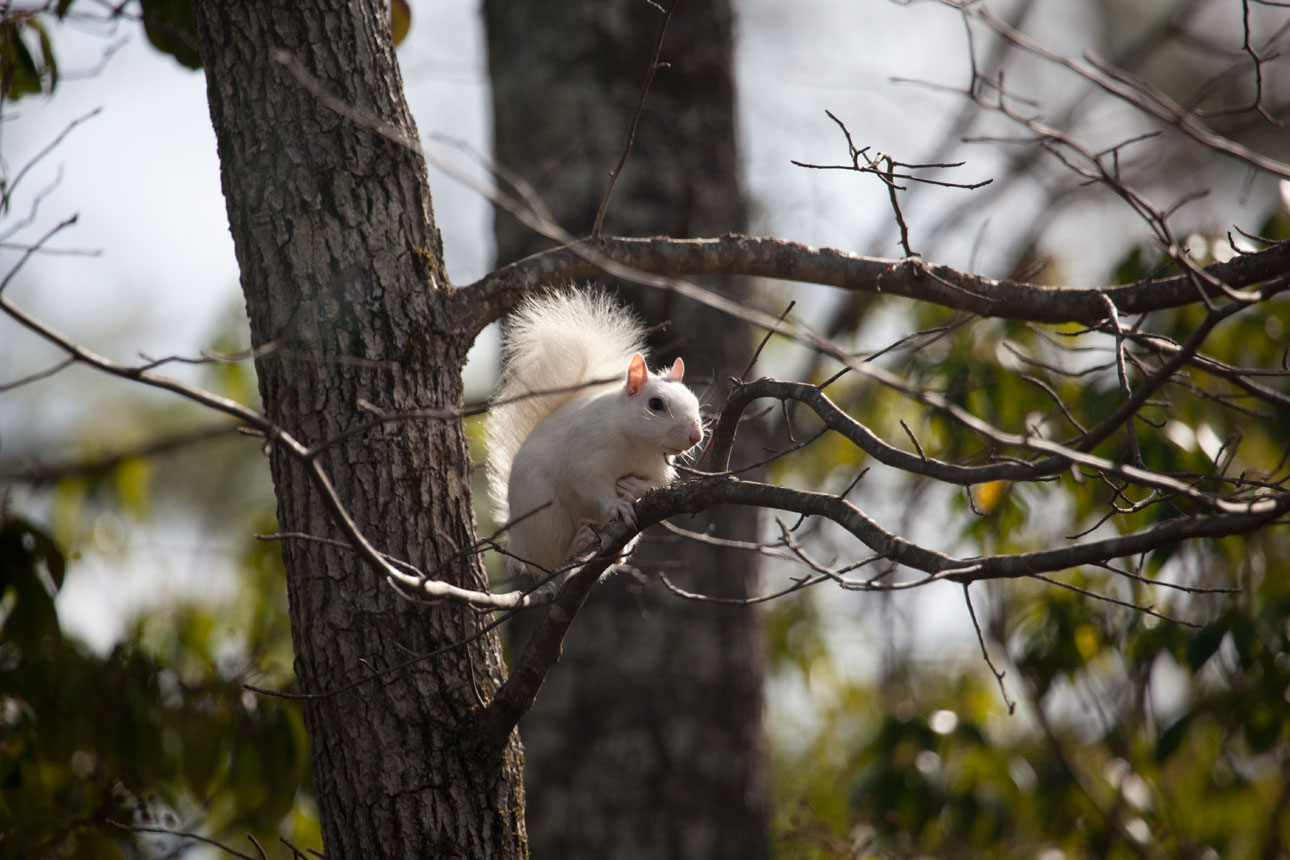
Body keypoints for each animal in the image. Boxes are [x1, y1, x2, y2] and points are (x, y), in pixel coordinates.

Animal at [485, 289, 705, 579]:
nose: (696, 436)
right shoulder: (587, 451)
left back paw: (619, 551)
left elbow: (661, 483)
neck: (638, 446)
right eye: (656, 404)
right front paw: (616, 505)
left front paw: (636, 487)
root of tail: (518, 542)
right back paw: (578, 542)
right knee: (552, 562)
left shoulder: (658, 467)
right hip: (545, 517)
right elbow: (588, 481)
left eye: (694, 401)